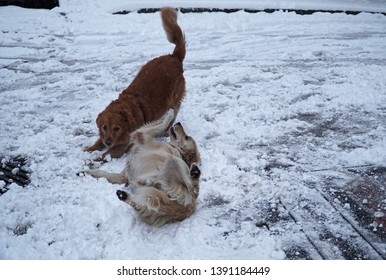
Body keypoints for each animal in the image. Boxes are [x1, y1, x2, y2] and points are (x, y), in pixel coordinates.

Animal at [85, 6, 187, 159]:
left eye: (117, 128)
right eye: (104, 127)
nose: (108, 142)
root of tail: (174, 57)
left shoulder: (122, 146)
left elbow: (105, 155)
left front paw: (93, 160)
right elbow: (97, 143)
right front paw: (88, 149)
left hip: (174, 100)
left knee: (174, 115)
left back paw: (166, 129)